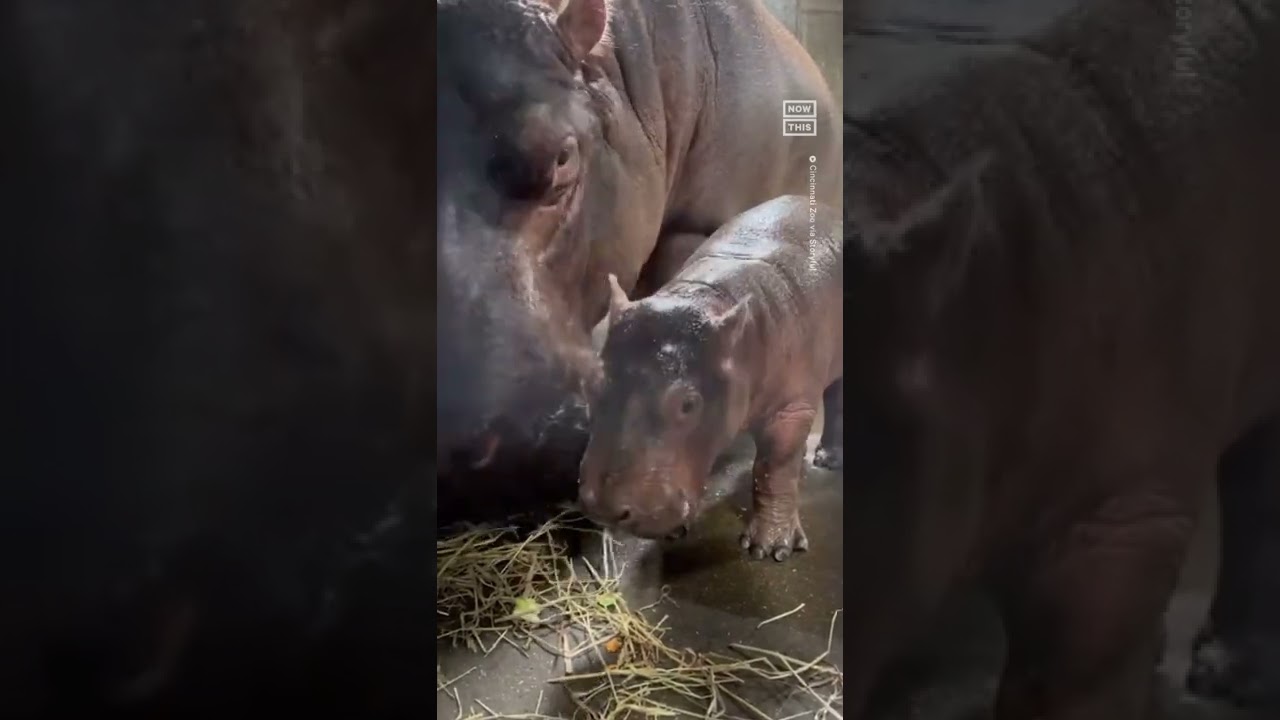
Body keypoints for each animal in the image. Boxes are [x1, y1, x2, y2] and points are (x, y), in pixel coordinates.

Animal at [578, 193, 839, 558]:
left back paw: (827, 461)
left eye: (688, 404)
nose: (604, 508)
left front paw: (769, 549)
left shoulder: (792, 407)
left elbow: (773, 468)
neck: (705, 297)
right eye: (592, 385)